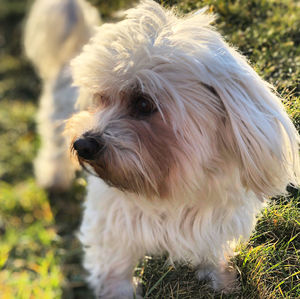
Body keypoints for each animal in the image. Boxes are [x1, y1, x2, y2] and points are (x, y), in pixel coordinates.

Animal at [64, 1, 298, 298]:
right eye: (101, 97)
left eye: (143, 103)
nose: (82, 144)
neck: (170, 184)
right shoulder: (111, 221)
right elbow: (115, 265)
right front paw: (118, 291)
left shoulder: (215, 218)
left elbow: (212, 249)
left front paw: (223, 280)